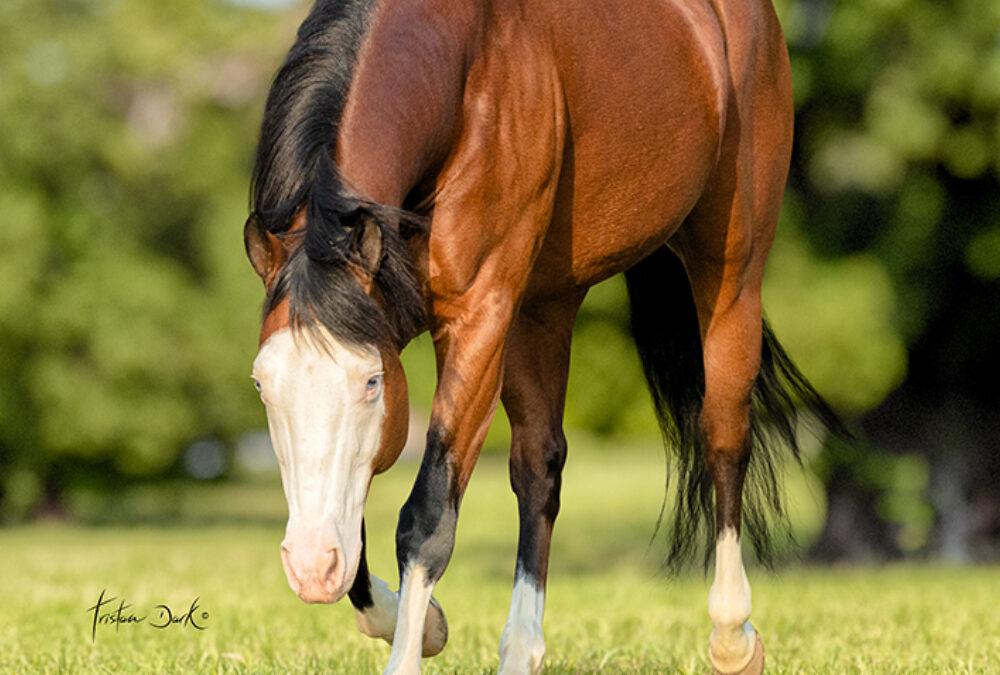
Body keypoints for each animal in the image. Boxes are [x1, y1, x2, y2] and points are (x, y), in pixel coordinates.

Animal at [243, 0, 838, 673]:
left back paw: (733, 637)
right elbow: (359, 513)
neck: (461, 75)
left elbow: (425, 516)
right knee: (539, 466)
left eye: (371, 382)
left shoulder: (479, 320)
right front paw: (425, 625)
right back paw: (521, 648)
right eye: (262, 384)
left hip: (732, 272)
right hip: (544, 307)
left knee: (724, 434)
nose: (311, 568)